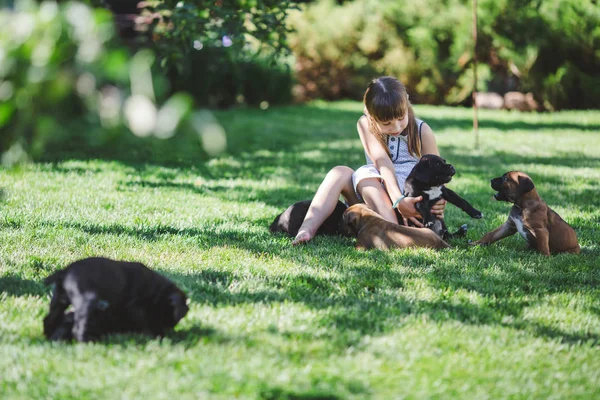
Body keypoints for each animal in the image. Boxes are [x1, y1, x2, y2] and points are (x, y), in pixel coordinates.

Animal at [43, 258, 189, 342]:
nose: (169, 331)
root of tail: (65, 271)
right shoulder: (136, 308)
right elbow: (144, 323)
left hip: (59, 300)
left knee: (48, 319)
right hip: (86, 302)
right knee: (78, 328)